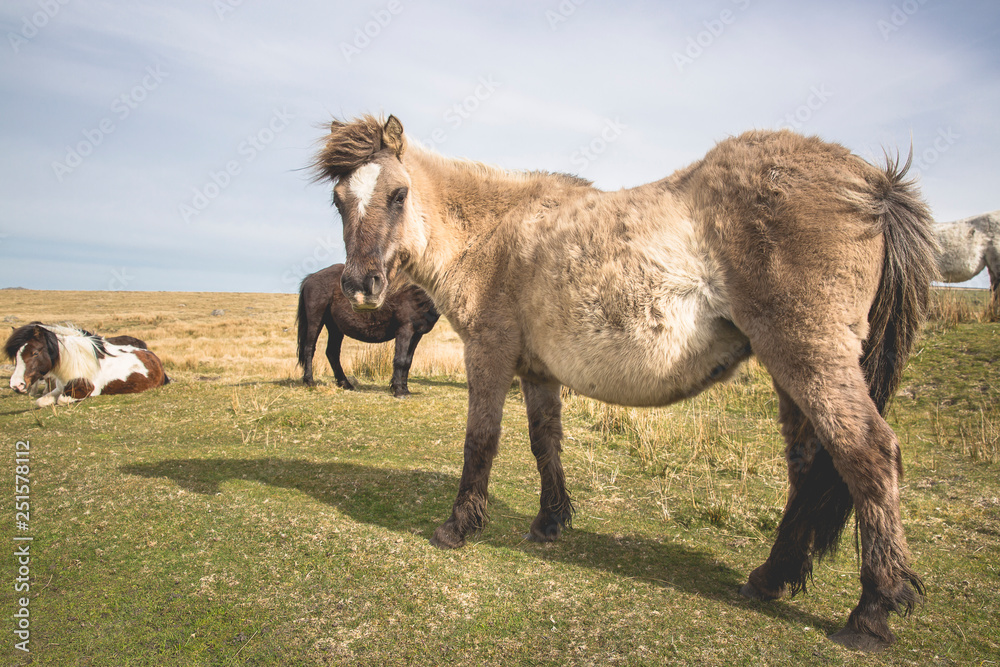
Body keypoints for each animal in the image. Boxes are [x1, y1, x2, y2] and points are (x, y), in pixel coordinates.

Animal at [4, 323, 169, 407]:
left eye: (35, 353)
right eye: (17, 355)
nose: (16, 385)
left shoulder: (88, 389)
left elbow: (62, 400)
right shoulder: (59, 388)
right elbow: (41, 401)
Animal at [296, 263, 439, 397]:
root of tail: (311, 277)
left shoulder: (416, 334)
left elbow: (407, 362)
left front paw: (404, 389)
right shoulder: (405, 330)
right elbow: (400, 360)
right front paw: (399, 390)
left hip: (335, 327)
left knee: (332, 352)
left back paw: (345, 384)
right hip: (315, 320)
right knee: (309, 348)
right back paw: (309, 381)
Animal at [312, 115, 938, 651]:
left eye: (398, 194)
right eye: (338, 201)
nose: (361, 285)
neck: (494, 233)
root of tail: (873, 184)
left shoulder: (489, 354)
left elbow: (480, 442)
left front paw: (457, 527)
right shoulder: (538, 372)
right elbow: (545, 444)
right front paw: (549, 522)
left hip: (806, 356)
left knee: (868, 455)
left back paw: (872, 612)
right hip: (791, 371)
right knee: (809, 467)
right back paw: (770, 578)